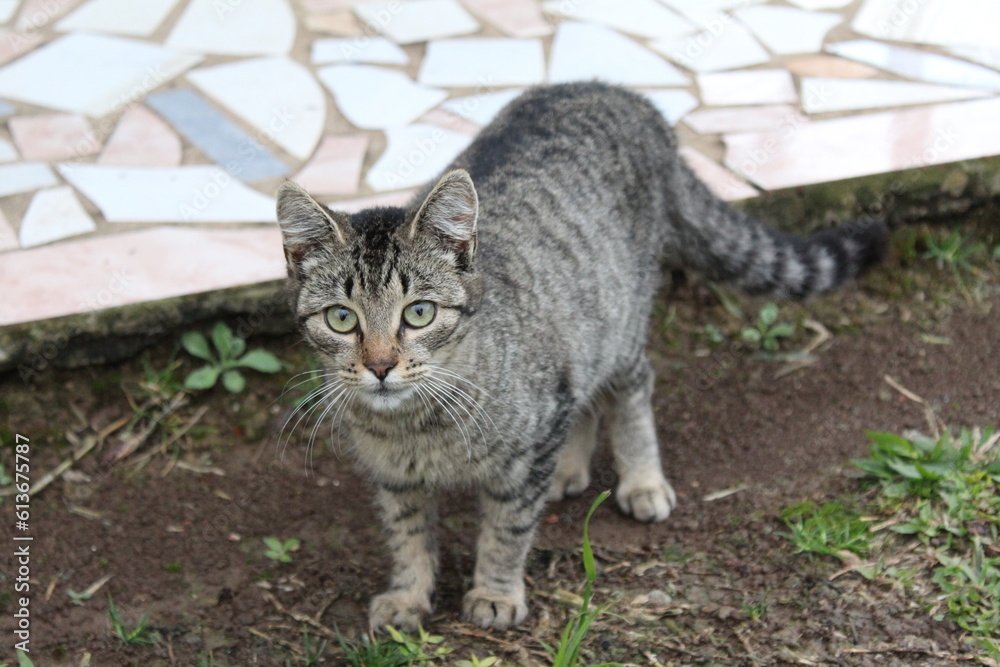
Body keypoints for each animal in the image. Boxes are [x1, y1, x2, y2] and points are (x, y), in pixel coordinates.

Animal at [274, 81, 884, 636]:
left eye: (419, 313)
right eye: (341, 319)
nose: (379, 366)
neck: (415, 427)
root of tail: (619, 92)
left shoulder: (533, 433)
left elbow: (507, 529)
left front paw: (495, 592)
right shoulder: (395, 481)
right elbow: (407, 537)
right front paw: (408, 595)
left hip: (619, 321)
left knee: (631, 389)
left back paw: (641, 479)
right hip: (582, 333)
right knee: (584, 399)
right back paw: (568, 468)